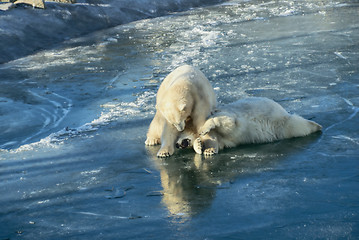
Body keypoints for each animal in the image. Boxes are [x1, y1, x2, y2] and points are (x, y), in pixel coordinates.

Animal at [177, 97, 324, 156]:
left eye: (178, 134)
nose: (178, 145)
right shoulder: (223, 139)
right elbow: (217, 141)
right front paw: (204, 148)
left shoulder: (227, 114)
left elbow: (228, 122)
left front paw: (204, 129)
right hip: (282, 128)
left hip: (279, 119)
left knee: (297, 124)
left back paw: (317, 125)